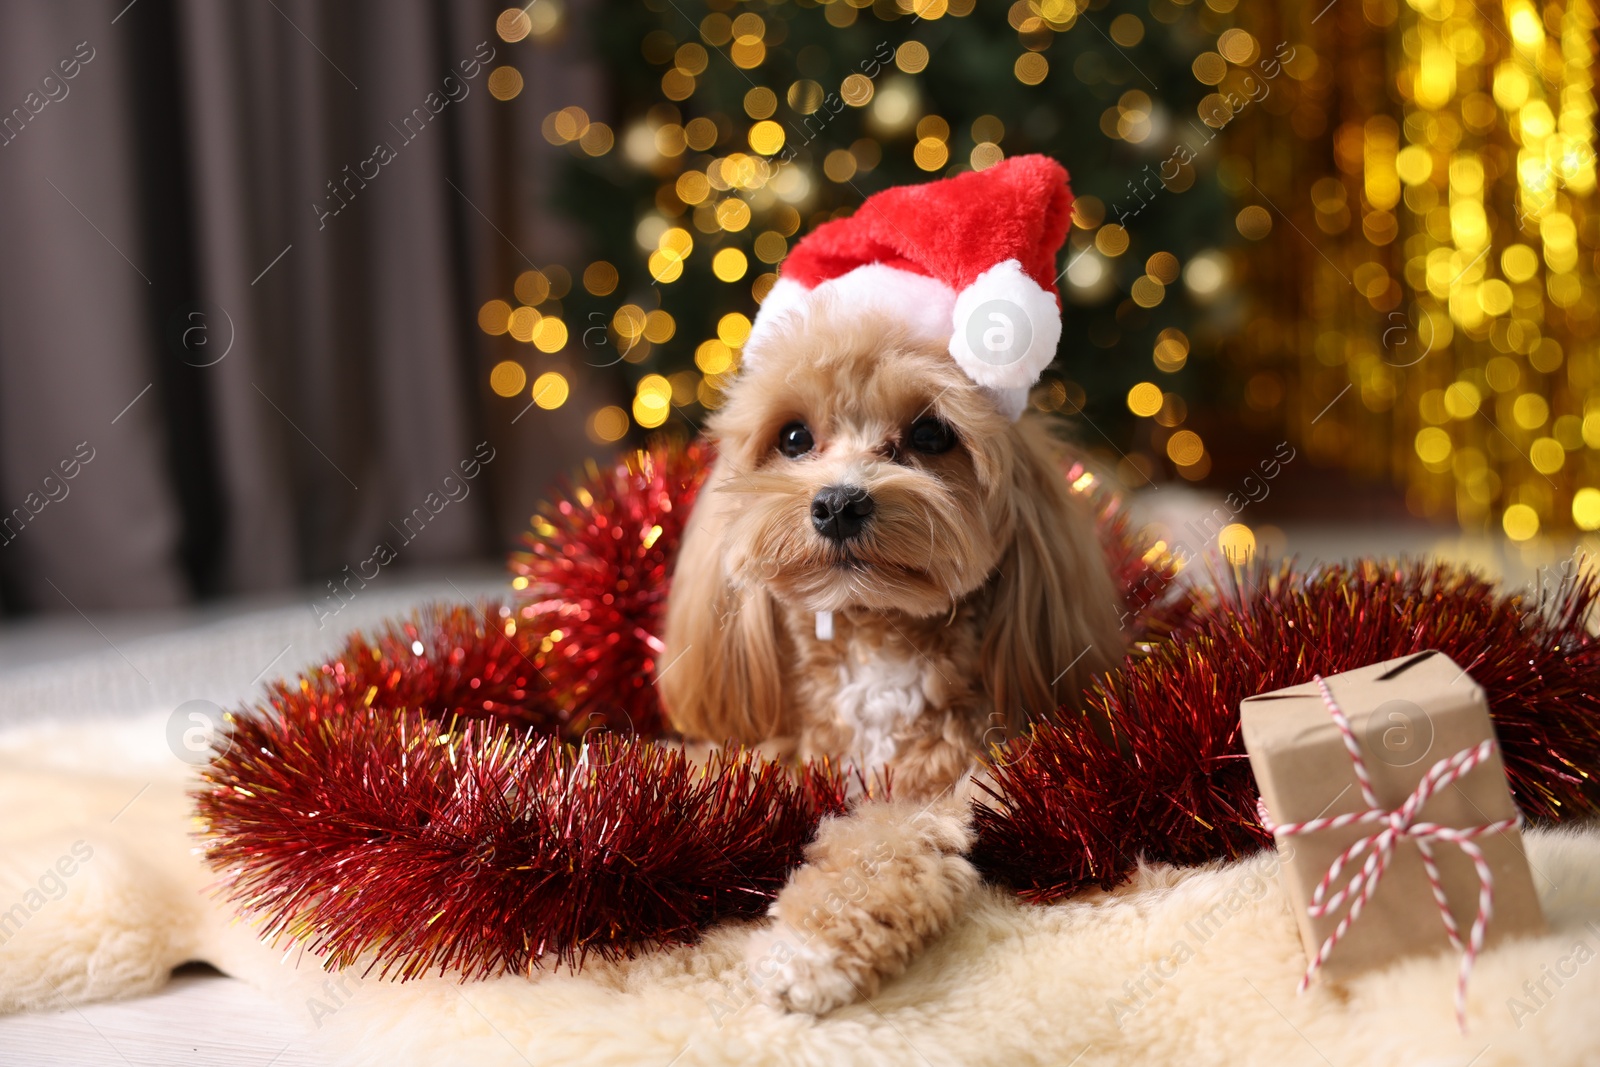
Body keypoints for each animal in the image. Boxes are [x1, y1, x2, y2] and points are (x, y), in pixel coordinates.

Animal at [656, 295, 1120, 1017]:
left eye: (931, 435)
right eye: (794, 438)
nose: (838, 503)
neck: (874, 639)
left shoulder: (948, 789)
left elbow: (882, 846)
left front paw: (807, 949)